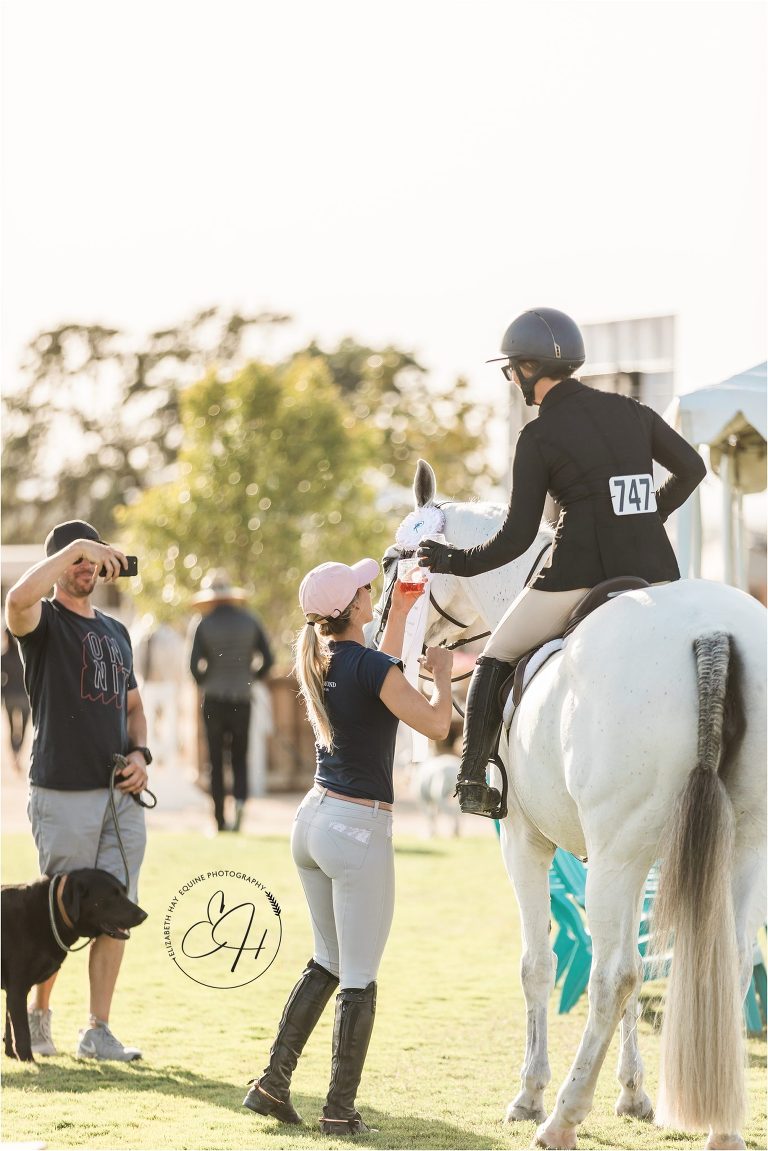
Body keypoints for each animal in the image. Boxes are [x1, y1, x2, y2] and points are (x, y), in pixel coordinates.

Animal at [370, 459, 767, 1151]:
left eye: (397, 561)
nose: (377, 635)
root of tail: (711, 632)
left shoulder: (526, 842)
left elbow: (538, 963)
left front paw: (529, 1093)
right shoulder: (634, 862)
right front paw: (633, 1093)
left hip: (616, 855)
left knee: (614, 976)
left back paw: (561, 1116)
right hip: (738, 849)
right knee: (725, 961)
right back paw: (722, 1130)